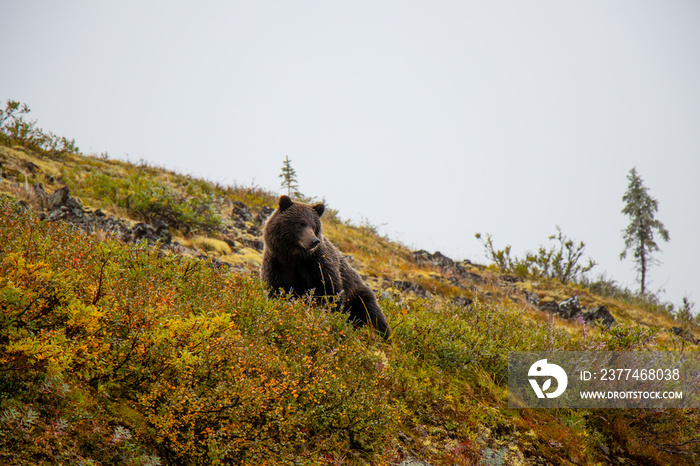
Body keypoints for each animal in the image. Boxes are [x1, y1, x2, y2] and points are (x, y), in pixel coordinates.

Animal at [262, 194, 392, 338]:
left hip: (358, 296)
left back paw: (384, 336)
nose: (314, 241)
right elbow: (279, 290)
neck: (294, 257)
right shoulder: (277, 264)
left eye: (314, 226)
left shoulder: (317, 264)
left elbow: (329, 291)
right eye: (300, 223)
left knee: (372, 316)